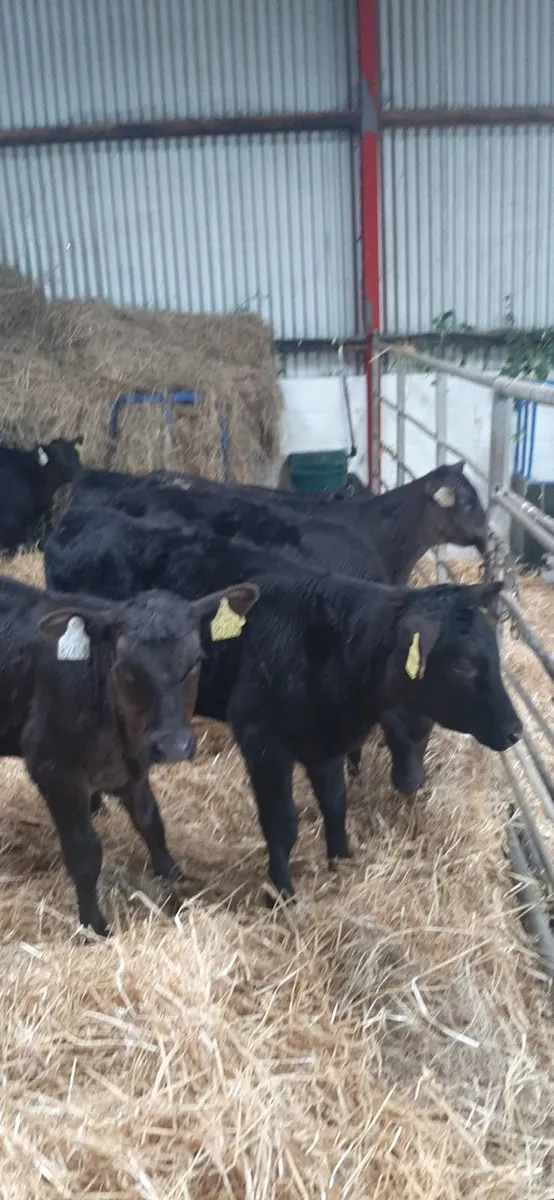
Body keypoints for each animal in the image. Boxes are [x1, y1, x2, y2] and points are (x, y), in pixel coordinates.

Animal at [0, 573, 258, 935]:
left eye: (196, 661)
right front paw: (94, 926)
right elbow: (84, 850)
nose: (173, 746)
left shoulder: (132, 766)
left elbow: (151, 821)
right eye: (124, 667)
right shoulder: (54, 769)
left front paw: (173, 877)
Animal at [44, 506, 521, 901]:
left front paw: (341, 862)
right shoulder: (262, 739)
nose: (515, 730)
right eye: (462, 665)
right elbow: (281, 824)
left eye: (496, 654)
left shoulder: (324, 740)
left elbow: (335, 803)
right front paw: (283, 893)